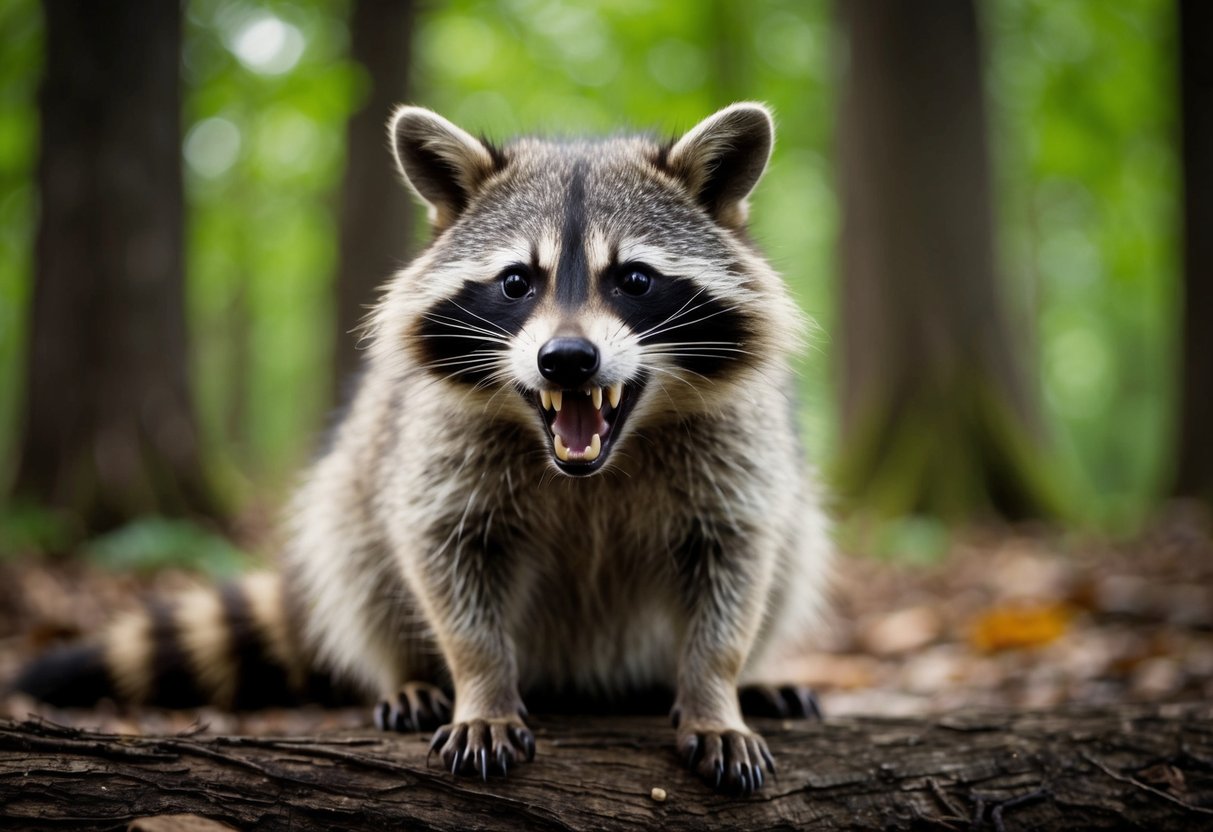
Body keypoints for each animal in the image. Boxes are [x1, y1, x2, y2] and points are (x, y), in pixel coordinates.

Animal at [13, 103, 832, 795]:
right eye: (516, 281)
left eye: (634, 278)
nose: (567, 361)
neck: (592, 462)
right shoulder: (438, 449)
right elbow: (445, 564)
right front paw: (480, 686)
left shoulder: (735, 454)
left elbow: (736, 567)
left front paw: (716, 691)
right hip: (359, 466)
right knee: (357, 553)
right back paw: (407, 677)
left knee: (793, 549)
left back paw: (750, 678)